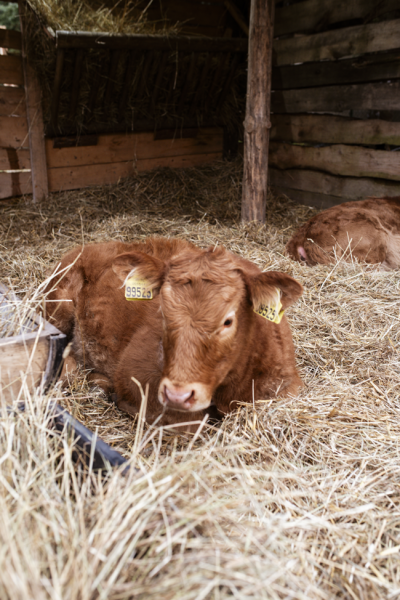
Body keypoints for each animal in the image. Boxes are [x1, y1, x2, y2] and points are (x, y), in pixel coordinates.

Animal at [45, 237, 304, 428]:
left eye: (228, 321)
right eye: (162, 312)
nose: (178, 395)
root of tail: (89, 246)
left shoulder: (285, 386)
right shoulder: (135, 376)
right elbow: (188, 422)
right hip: (58, 307)